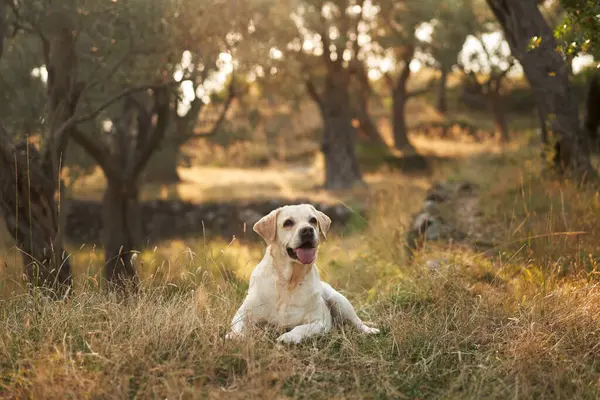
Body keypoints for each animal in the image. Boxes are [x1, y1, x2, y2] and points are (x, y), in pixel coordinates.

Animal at [226, 203, 380, 344]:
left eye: (313, 220)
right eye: (288, 222)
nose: (307, 230)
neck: (289, 281)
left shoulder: (320, 322)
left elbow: (300, 328)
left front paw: (288, 337)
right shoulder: (241, 314)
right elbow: (238, 326)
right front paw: (236, 336)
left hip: (339, 300)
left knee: (357, 322)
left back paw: (370, 330)